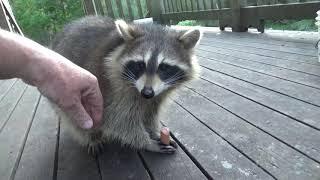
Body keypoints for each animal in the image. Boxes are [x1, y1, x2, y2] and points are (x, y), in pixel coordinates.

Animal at [52, 16, 201, 155]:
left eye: (164, 67)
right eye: (140, 65)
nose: (147, 93)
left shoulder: (158, 94)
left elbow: (151, 112)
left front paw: (154, 131)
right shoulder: (108, 86)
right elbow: (117, 119)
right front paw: (147, 142)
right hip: (68, 89)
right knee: (76, 117)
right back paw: (91, 137)